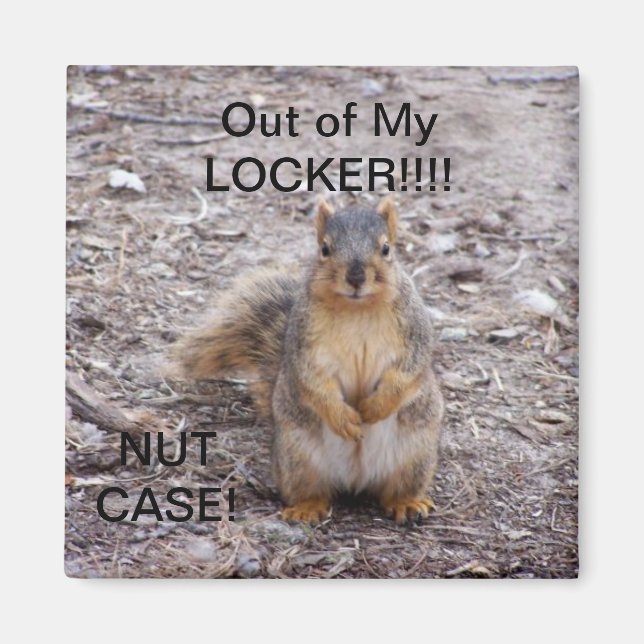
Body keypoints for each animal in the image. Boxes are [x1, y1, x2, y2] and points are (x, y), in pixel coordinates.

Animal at [173, 198, 444, 524]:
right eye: (325, 249)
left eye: (386, 248)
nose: (356, 277)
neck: (357, 308)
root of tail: (357, 480)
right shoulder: (304, 345)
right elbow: (313, 382)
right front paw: (344, 418)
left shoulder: (415, 333)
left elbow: (407, 373)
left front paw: (373, 407)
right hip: (297, 458)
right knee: (310, 489)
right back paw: (306, 508)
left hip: (415, 456)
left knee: (398, 488)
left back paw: (407, 503)